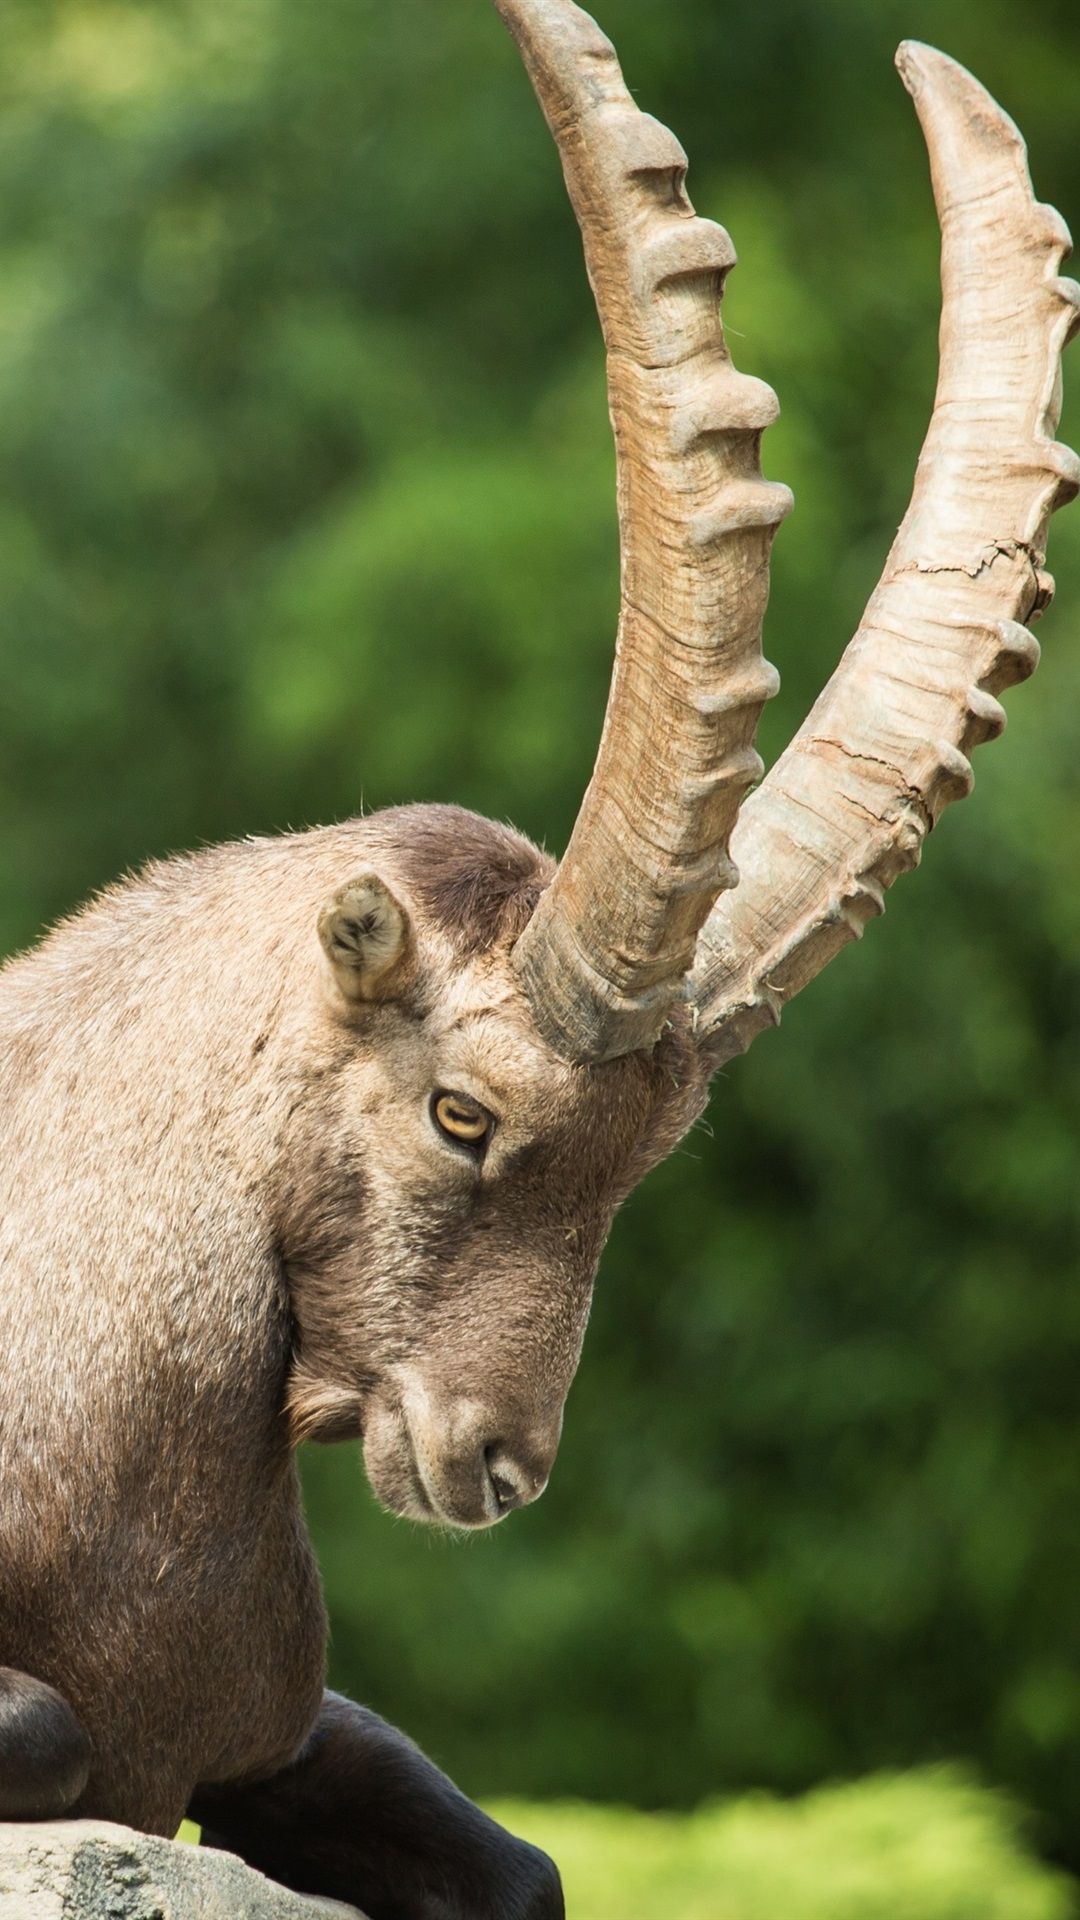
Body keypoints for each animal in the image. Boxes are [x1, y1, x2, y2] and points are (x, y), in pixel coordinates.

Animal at [1, 2, 1076, 1916]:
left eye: (651, 1158)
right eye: (463, 1115)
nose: (493, 1465)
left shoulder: (284, 1724)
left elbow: (518, 1868)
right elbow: (53, 1734)